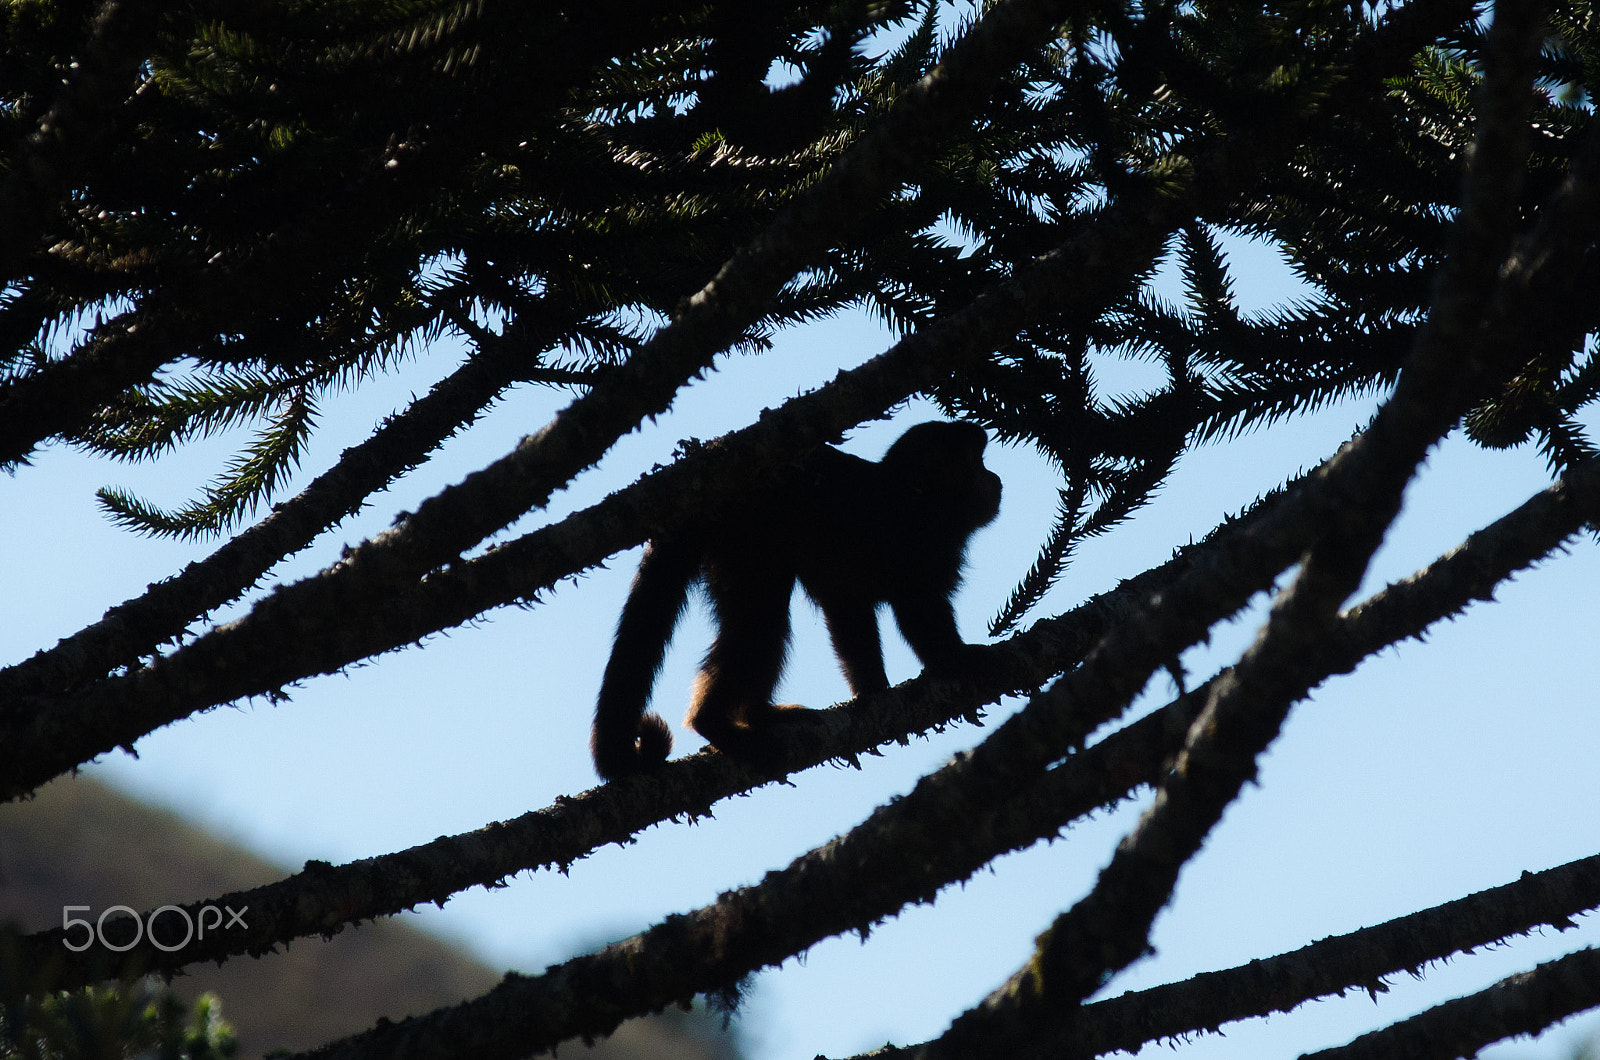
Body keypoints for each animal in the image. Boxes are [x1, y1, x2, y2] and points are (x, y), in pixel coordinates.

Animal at [591, 420, 1002, 781]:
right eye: (976, 460)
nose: (996, 478)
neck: (920, 500)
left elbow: (847, 607)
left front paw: (873, 691)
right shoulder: (920, 542)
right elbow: (919, 610)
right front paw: (956, 658)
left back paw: (757, 716)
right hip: (745, 533)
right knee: (762, 620)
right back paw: (714, 724)